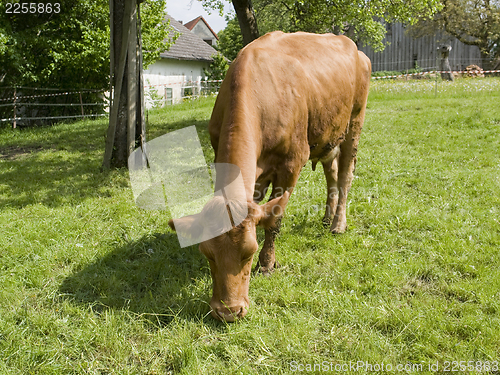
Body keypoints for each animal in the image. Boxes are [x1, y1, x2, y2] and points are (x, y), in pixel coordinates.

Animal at [170, 30, 370, 322]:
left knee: (345, 175)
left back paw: (337, 223)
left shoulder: (291, 165)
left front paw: (267, 263)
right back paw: (326, 217)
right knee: (331, 172)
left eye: (249, 252)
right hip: (328, 135)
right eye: (207, 254)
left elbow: (274, 218)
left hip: (354, 122)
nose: (228, 311)